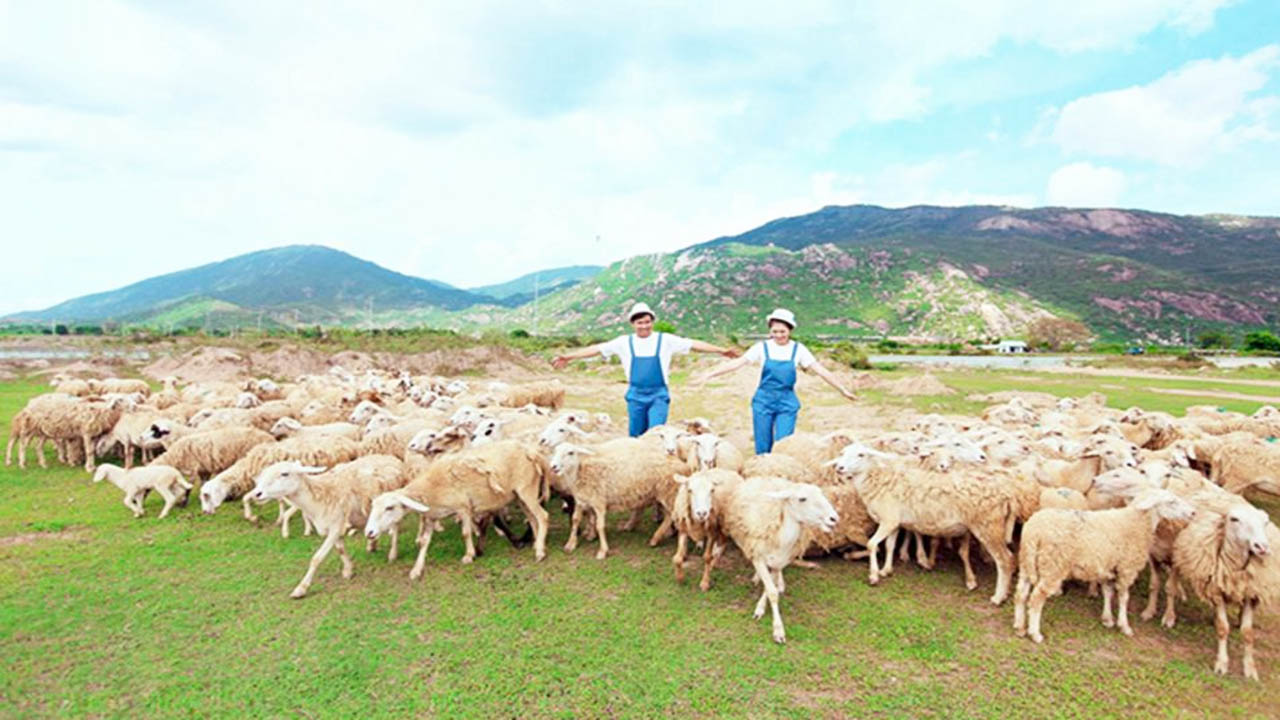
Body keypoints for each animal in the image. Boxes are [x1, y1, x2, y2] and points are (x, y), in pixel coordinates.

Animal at [247, 456, 407, 597]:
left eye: (285, 473)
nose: (257, 494)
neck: (318, 497)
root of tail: (391, 458)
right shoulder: (333, 527)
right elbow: (341, 550)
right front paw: (348, 570)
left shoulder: (336, 526)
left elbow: (317, 558)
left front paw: (301, 588)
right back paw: (372, 544)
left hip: (392, 507)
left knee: (396, 527)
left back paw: (392, 553)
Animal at [366, 438, 555, 571]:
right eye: (373, 507)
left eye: (389, 507)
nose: (369, 532)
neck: (431, 487)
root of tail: (532, 452)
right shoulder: (433, 515)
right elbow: (425, 542)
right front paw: (416, 570)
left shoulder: (463, 507)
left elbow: (465, 533)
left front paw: (469, 556)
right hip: (520, 496)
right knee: (533, 519)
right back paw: (538, 544)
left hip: (527, 490)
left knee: (543, 516)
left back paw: (539, 552)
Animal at [721, 474, 839, 640]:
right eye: (802, 499)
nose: (834, 518)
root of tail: (765, 477)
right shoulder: (759, 557)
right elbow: (771, 591)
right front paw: (777, 628)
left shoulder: (779, 561)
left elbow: (771, 587)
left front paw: (763, 606)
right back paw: (757, 577)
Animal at [1008, 484, 1198, 640]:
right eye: (1171, 502)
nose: (1193, 513)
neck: (1137, 522)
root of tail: (1035, 532)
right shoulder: (1126, 568)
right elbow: (1123, 597)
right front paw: (1124, 626)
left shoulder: (1108, 567)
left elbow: (1108, 592)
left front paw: (1107, 619)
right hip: (1052, 565)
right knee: (1036, 599)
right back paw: (1035, 633)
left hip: (1027, 562)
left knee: (1020, 595)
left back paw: (1019, 627)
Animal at [1172, 502, 1280, 676]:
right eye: (1234, 519)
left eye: (1266, 522)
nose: (1262, 547)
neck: (1234, 570)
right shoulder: (1216, 592)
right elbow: (1223, 628)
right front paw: (1221, 664)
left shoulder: (1251, 594)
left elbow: (1248, 633)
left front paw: (1250, 668)